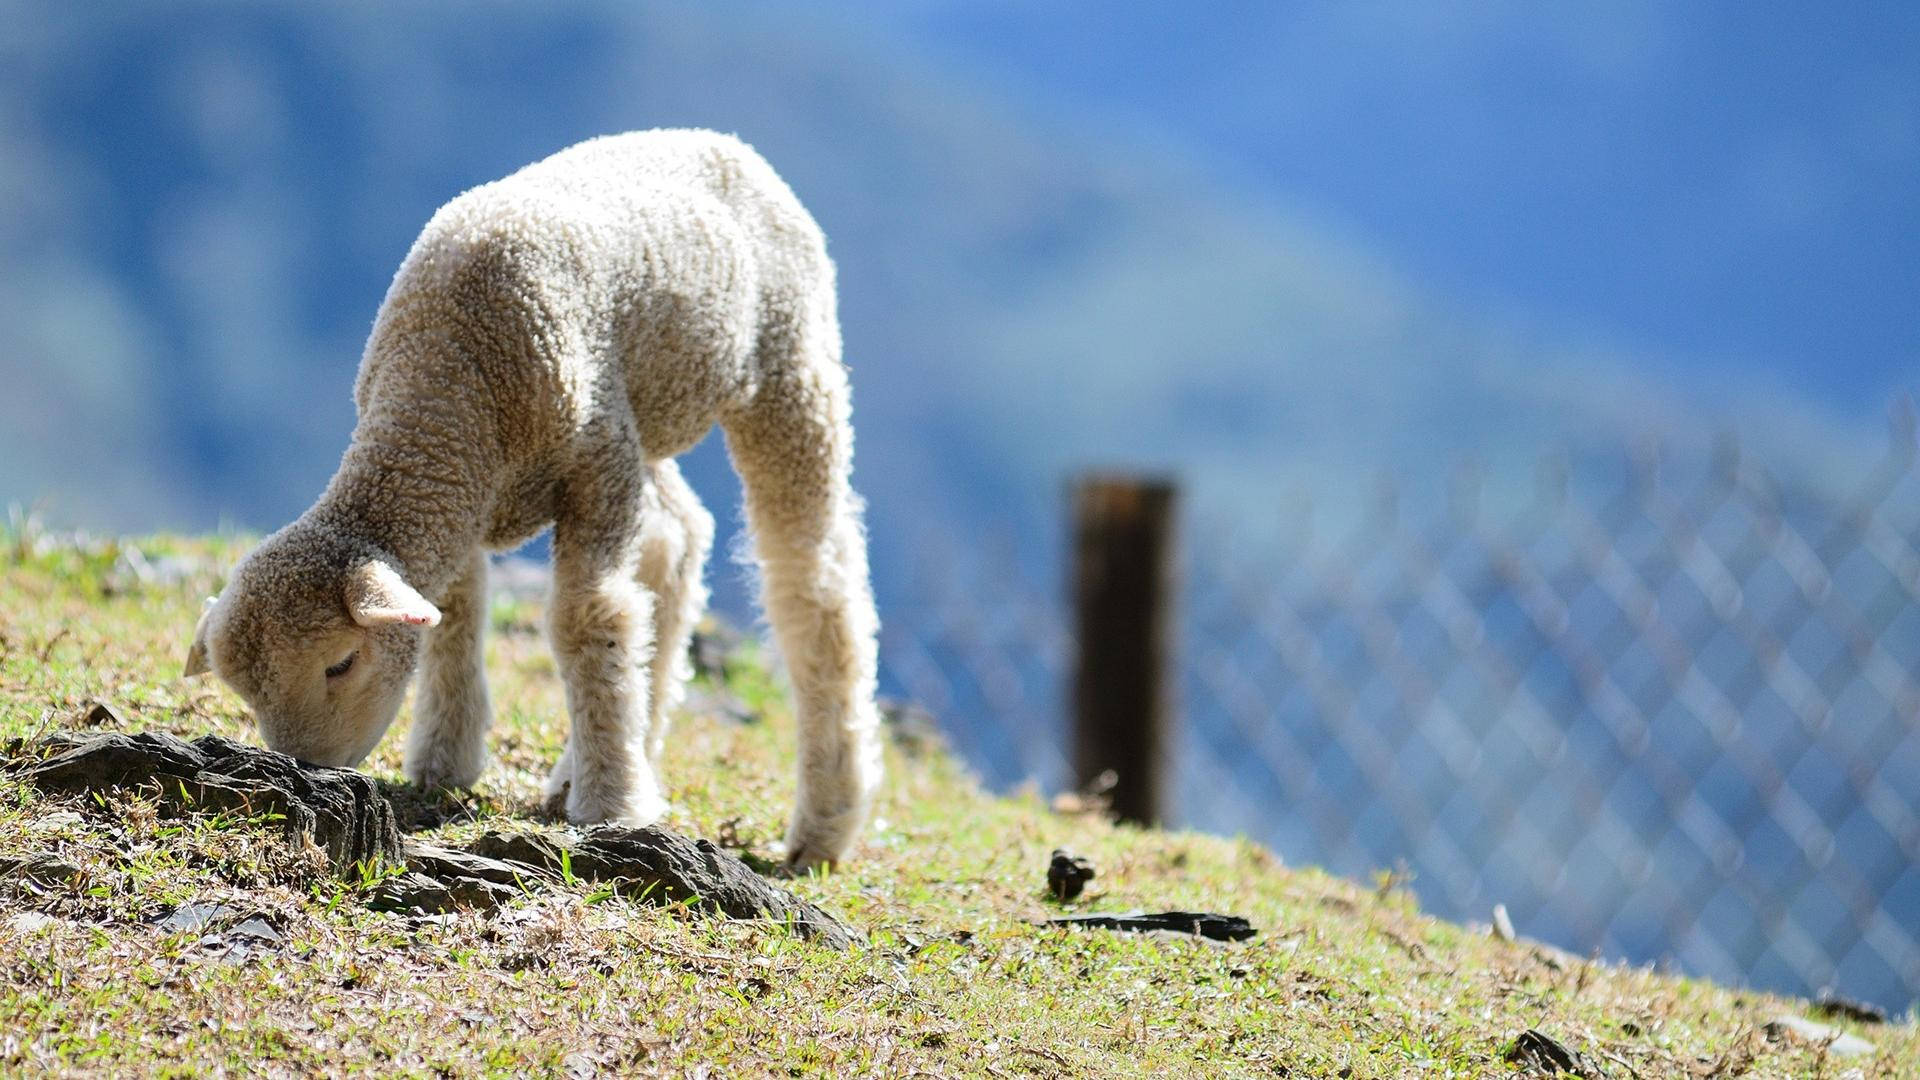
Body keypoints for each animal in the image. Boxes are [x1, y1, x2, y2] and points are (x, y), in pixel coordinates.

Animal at [182, 129, 884, 869]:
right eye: (246, 695)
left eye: (340, 664)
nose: (314, 770)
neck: (448, 376)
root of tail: (726, 142)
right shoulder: (466, 494)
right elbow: (454, 616)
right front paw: (446, 760)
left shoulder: (595, 464)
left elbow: (588, 619)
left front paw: (610, 803)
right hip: (643, 414)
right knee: (679, 537)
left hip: (788, 368)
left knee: (813, 580)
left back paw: (823, 820)